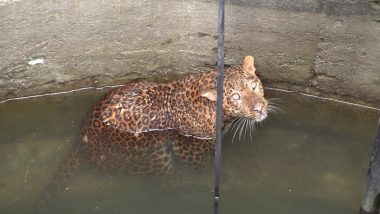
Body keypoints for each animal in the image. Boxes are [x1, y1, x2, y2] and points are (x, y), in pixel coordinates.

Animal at [38, 54, 268, 211]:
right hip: (151, 155)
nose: (260, 108)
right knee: (162, 183)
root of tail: (81, 140)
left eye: (254, 85)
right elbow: (200, 169)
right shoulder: (188, 148)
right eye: (236, 97)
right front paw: (212, 178)